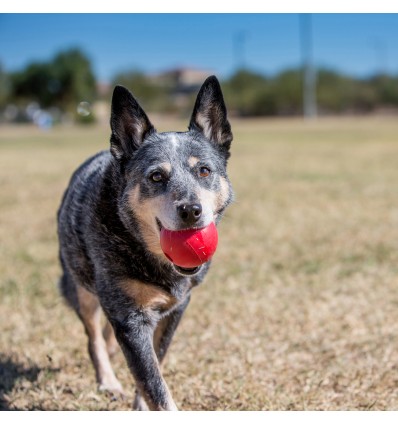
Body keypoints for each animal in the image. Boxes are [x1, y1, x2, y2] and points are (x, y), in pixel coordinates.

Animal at [57, 74, 235, 410]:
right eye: (156, 177)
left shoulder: (176, 308)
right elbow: (154, 383)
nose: (191, 210)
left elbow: (156, 361)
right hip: (80, 285)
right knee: (93, 336)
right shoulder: (130, 319)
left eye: (204, 170)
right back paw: (108, 381)